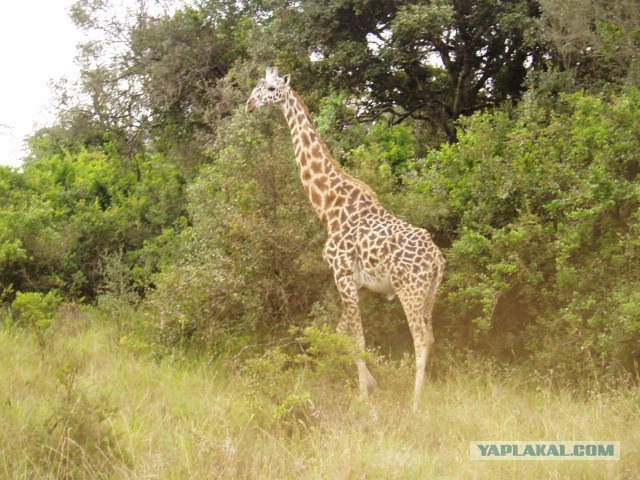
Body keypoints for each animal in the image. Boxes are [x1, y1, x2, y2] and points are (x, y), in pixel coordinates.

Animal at [245, 65, 444, 406]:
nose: (249, 104)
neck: (328, 207)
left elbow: (356, 340)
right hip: (429, 294)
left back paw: (415, 404)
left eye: (270, 89)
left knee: (421, 338)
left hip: (410, 291)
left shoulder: (343, 275)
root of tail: (438, 260)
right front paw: (361, 386)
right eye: (257, 87)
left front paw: (364, 402)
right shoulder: (358, 283)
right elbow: (339, 334)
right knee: (429, 336)